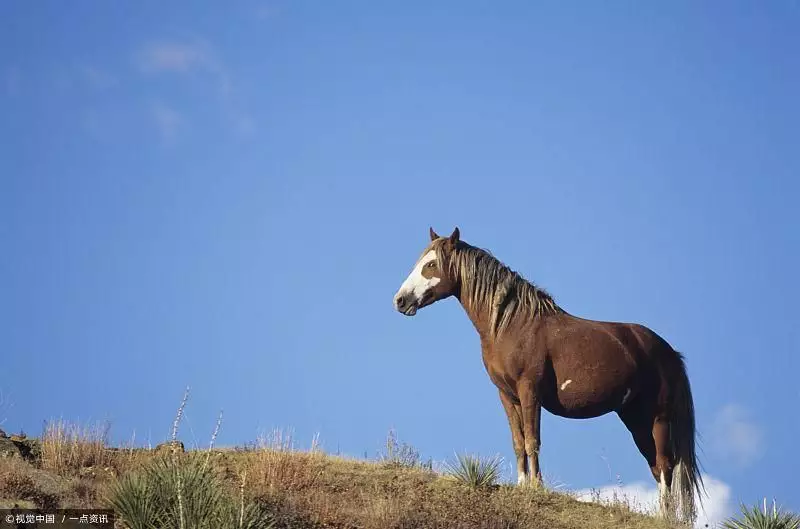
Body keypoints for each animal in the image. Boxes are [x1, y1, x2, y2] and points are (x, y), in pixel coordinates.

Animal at [390, 227, 704, 524]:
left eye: (431, 264)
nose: (400, 300)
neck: (512, 325)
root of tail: (668, 351)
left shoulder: (530, 392)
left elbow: (533, 440)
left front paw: (536, 487)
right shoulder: (507, 396)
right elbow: (518, 442)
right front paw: (521, 485)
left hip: (658, 418)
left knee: (665, 465)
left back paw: (665, 517)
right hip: (635, 419)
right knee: (655, 465)